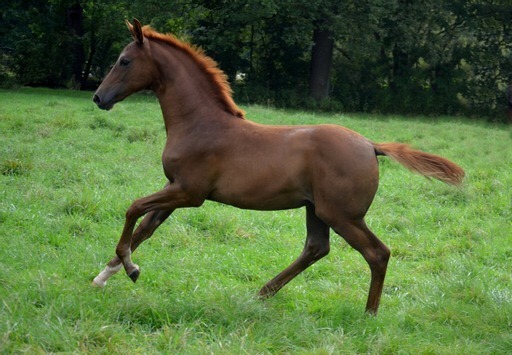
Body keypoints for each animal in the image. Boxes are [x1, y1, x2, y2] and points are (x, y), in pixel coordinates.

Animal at [92, 19, 464, 314]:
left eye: (124, 61)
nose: (98, 97)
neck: (200, 124)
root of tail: (372, 146)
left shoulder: (188, 192)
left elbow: (133, 208)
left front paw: (130, 269)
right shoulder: (175, 189)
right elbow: (145, 228)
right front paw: (104, 276)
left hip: (342, 214)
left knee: (377, 253)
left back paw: (369, 314)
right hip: (317, 209)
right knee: (316, 248)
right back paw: (261, 294)